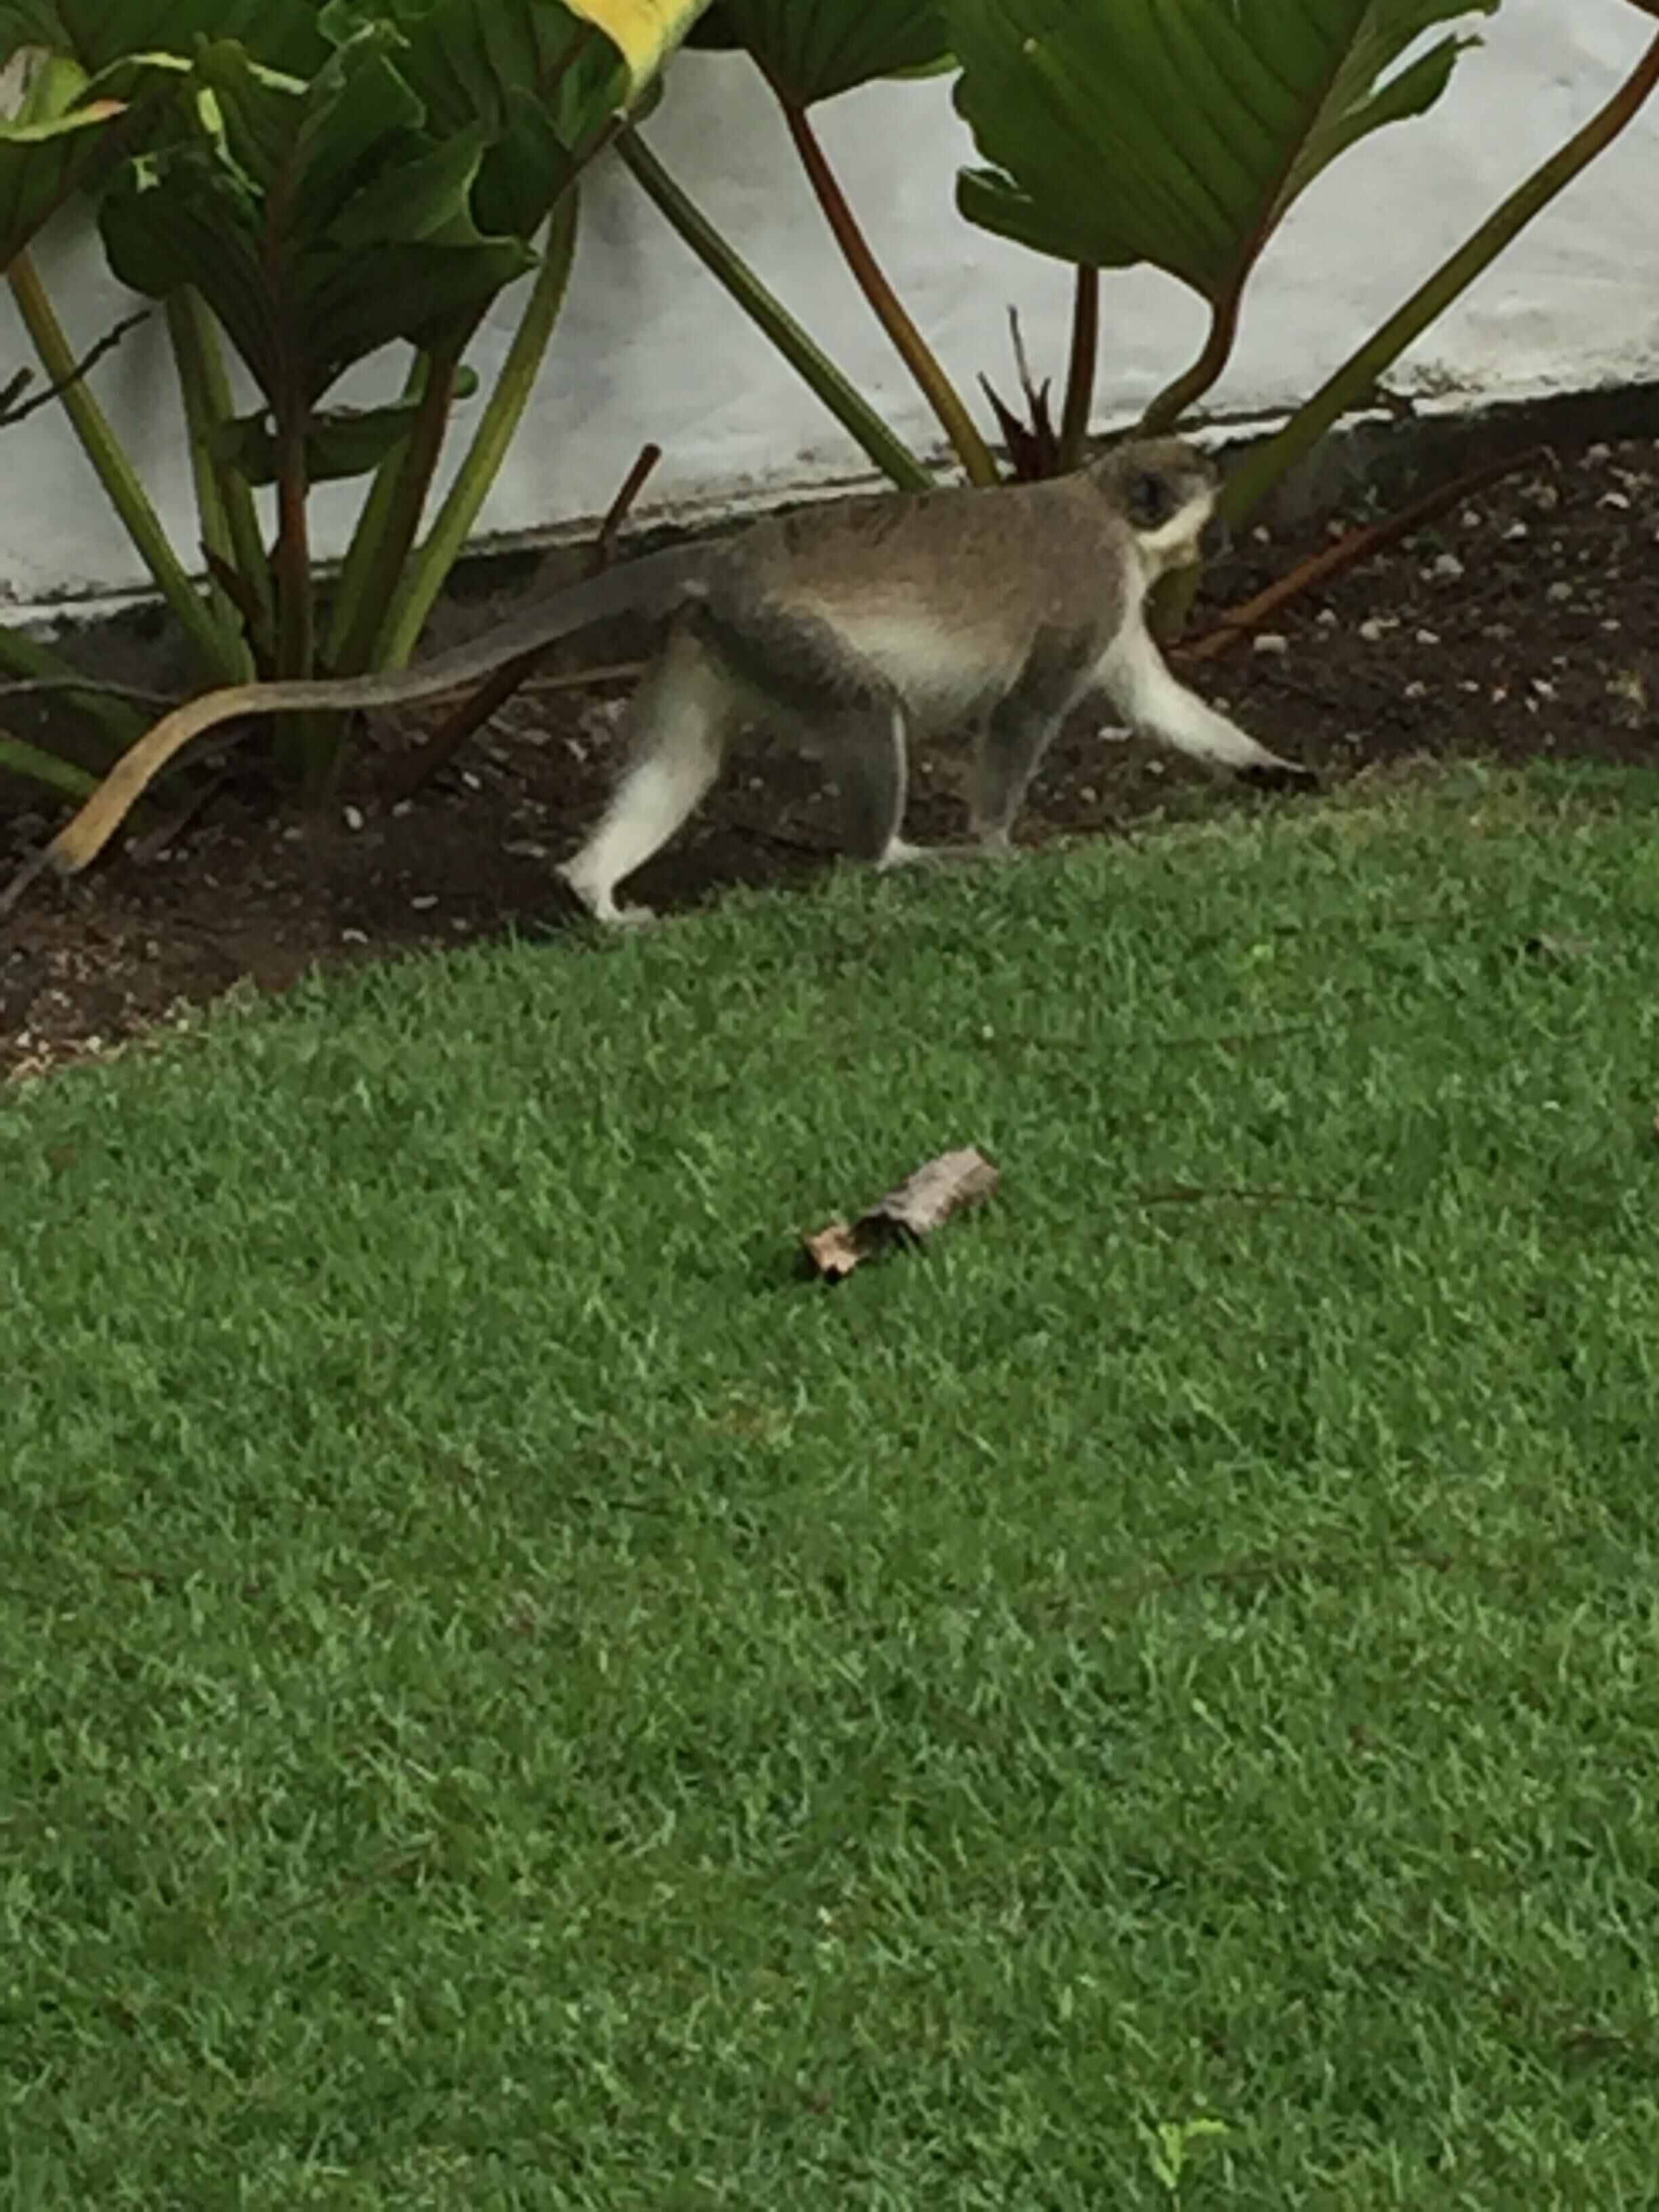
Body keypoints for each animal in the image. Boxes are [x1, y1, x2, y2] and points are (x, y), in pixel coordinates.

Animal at [6, 436, 1309, 919]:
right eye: (1201, 475)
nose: (1230, 510)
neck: (1099, 505)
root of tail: (725, 553)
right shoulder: (1091, 592)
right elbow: (1031, 716)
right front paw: (992, 841)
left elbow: (1153, 703)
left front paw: (1271, 765)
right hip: (779, 633)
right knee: (867, 715)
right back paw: (888, 855)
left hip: (713, 643)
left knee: (676, 763)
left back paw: (593, 890)